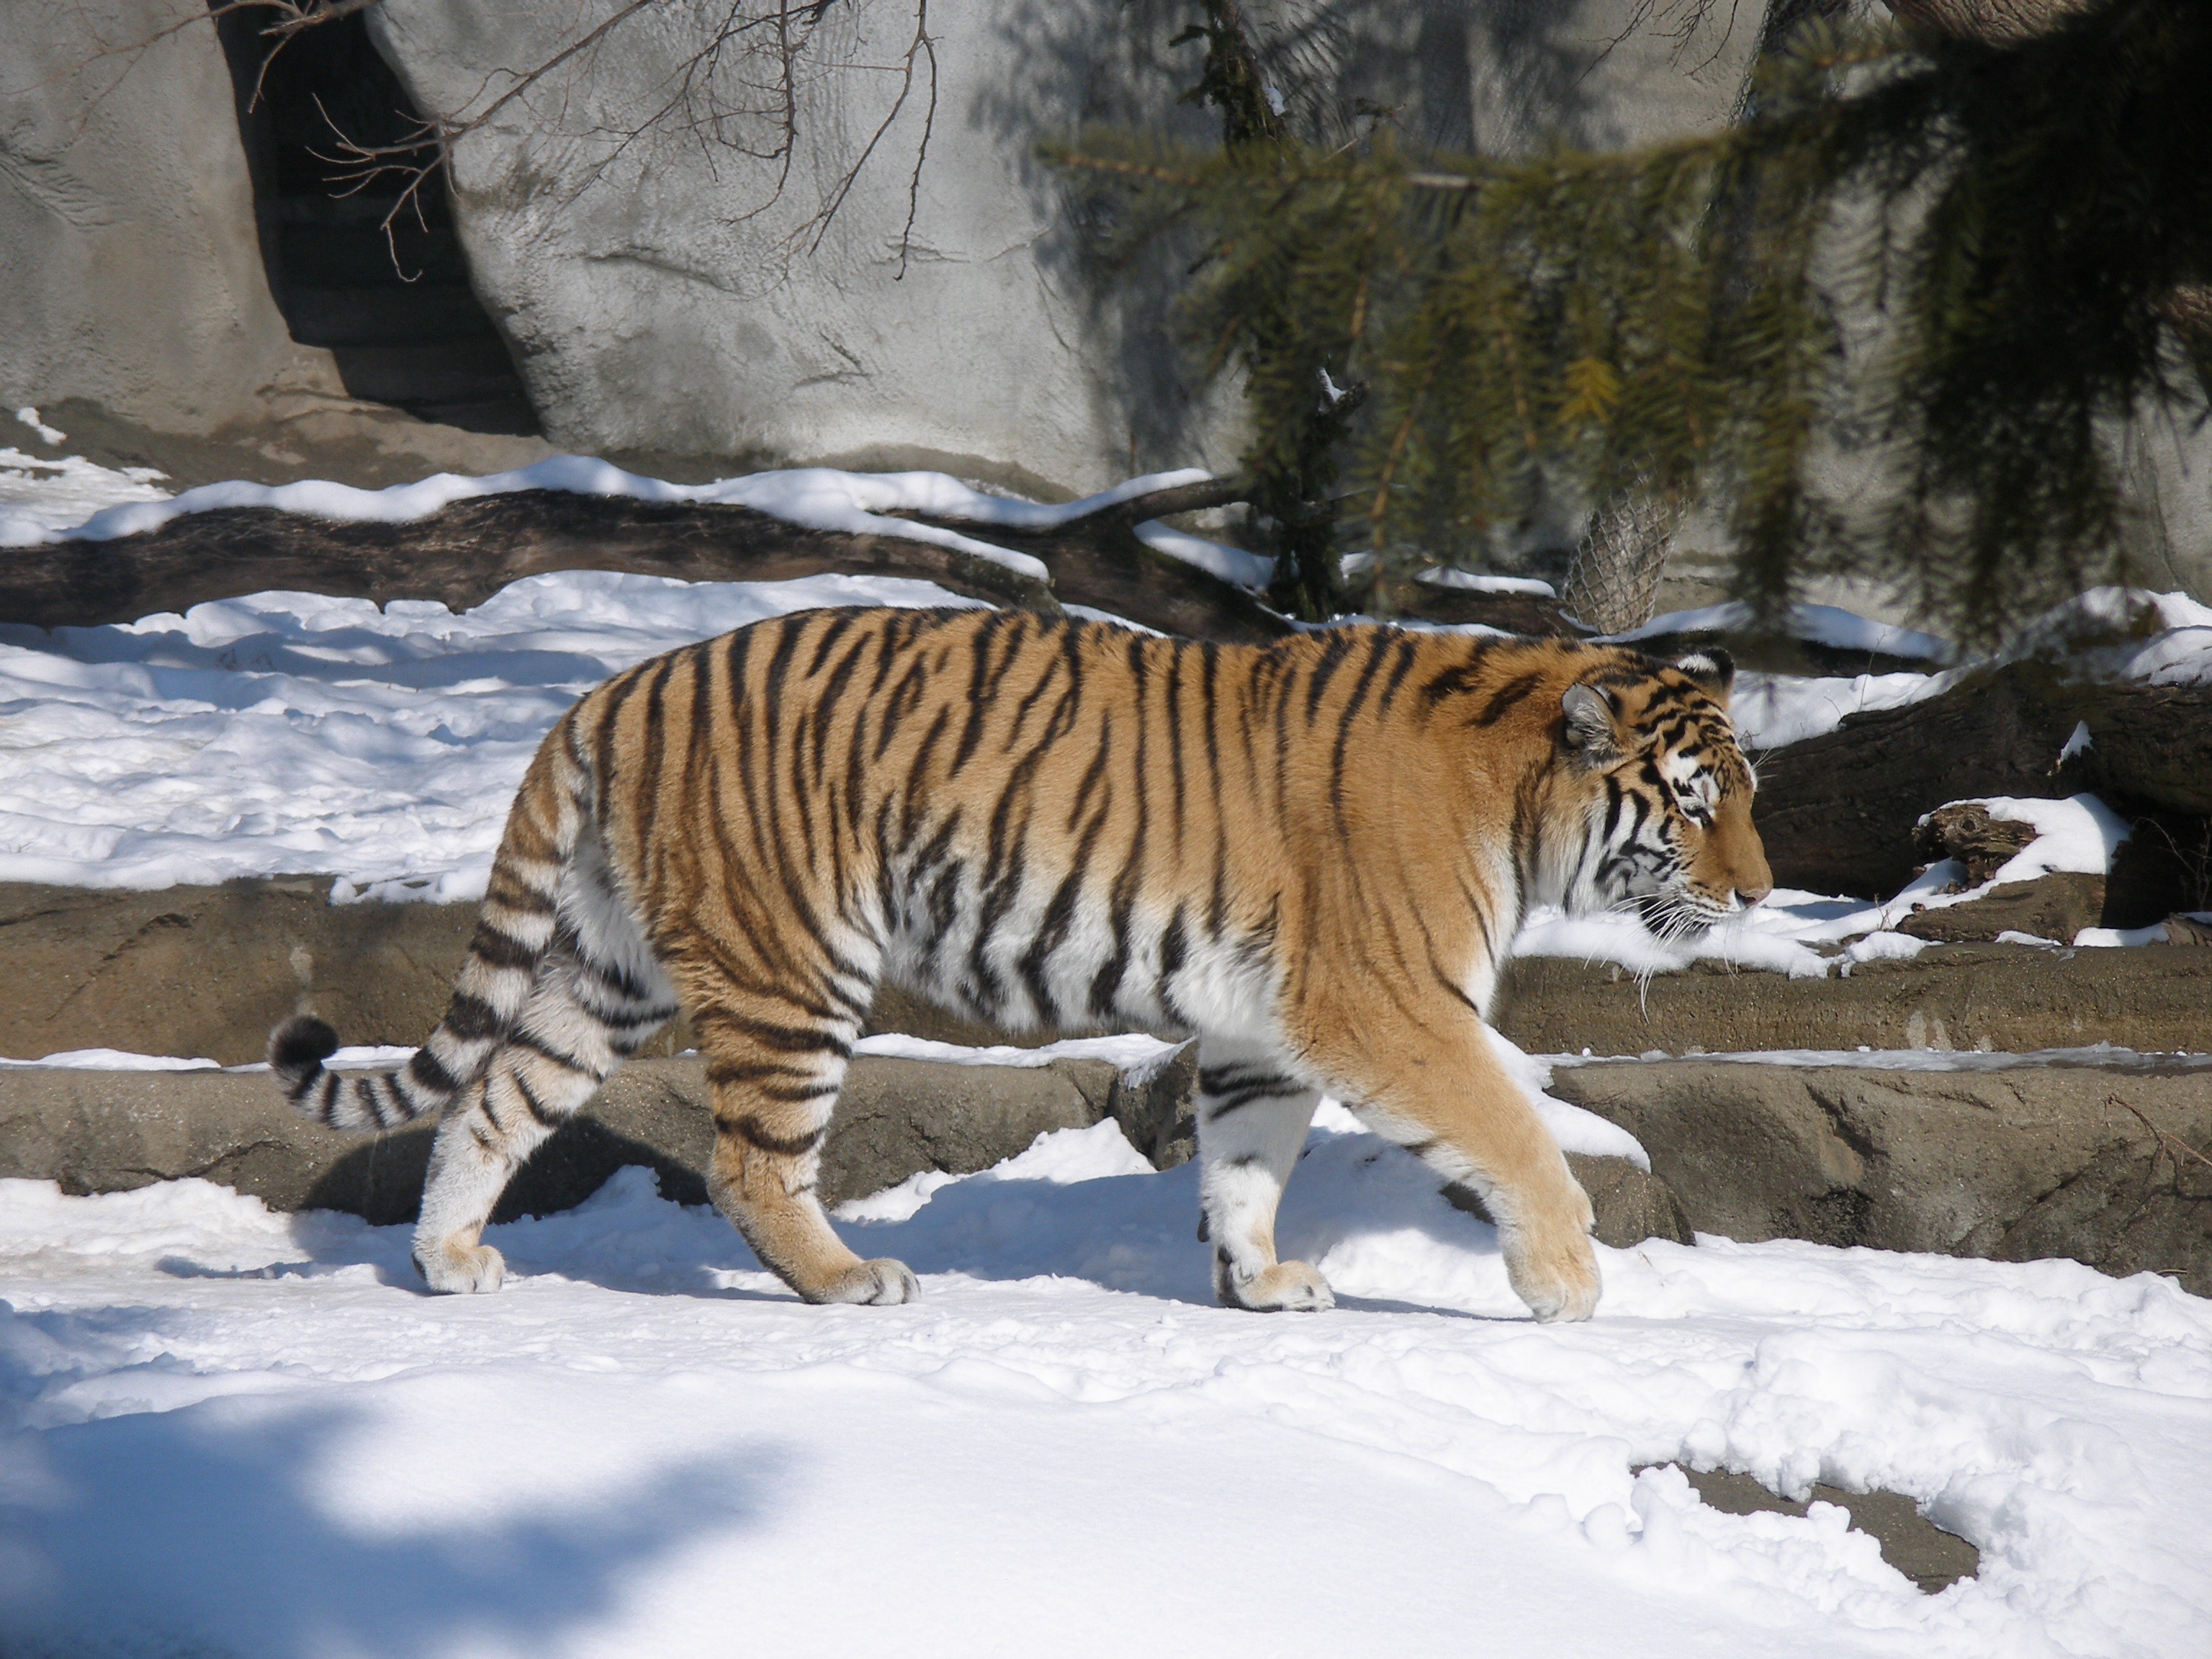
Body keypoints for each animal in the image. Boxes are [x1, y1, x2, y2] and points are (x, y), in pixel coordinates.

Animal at [267, 610, 1769, 1327]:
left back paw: (449, 1258)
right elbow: (1517, 1134)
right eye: (1696, 804)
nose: (1760, 890)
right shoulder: (1390, 1002)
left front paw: (1256, 1282)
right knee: (751, 1159)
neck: (1518, 796)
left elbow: (1246, 1161)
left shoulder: (1261, 1025)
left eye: (1744, 797)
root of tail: (617, 684)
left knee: (493, 1096)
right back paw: (848, 1279)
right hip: (793, 960)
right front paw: (1566, 1281)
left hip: (610, 966)